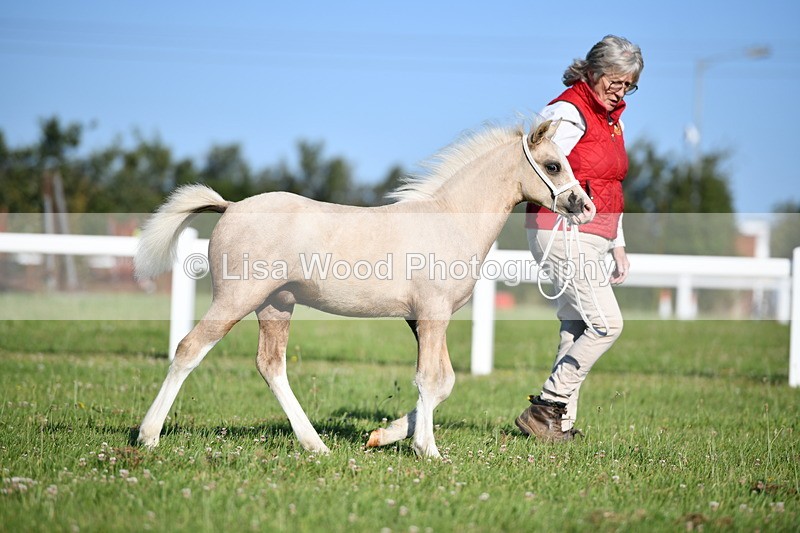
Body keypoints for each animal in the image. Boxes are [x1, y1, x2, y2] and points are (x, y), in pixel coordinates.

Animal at [133, 119, 595, 458]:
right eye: (553, 165)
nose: (584, 207)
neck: (449, 220)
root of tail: (229, 207)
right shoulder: (432, 315)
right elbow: (429, 379)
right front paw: (427, 450)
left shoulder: (427, 318)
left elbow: (443, 382)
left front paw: (382, 436)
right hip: (236, 299)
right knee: (189, 349)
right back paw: (148, 436)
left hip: (276, 305)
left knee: (271, 366)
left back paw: (315, 444)